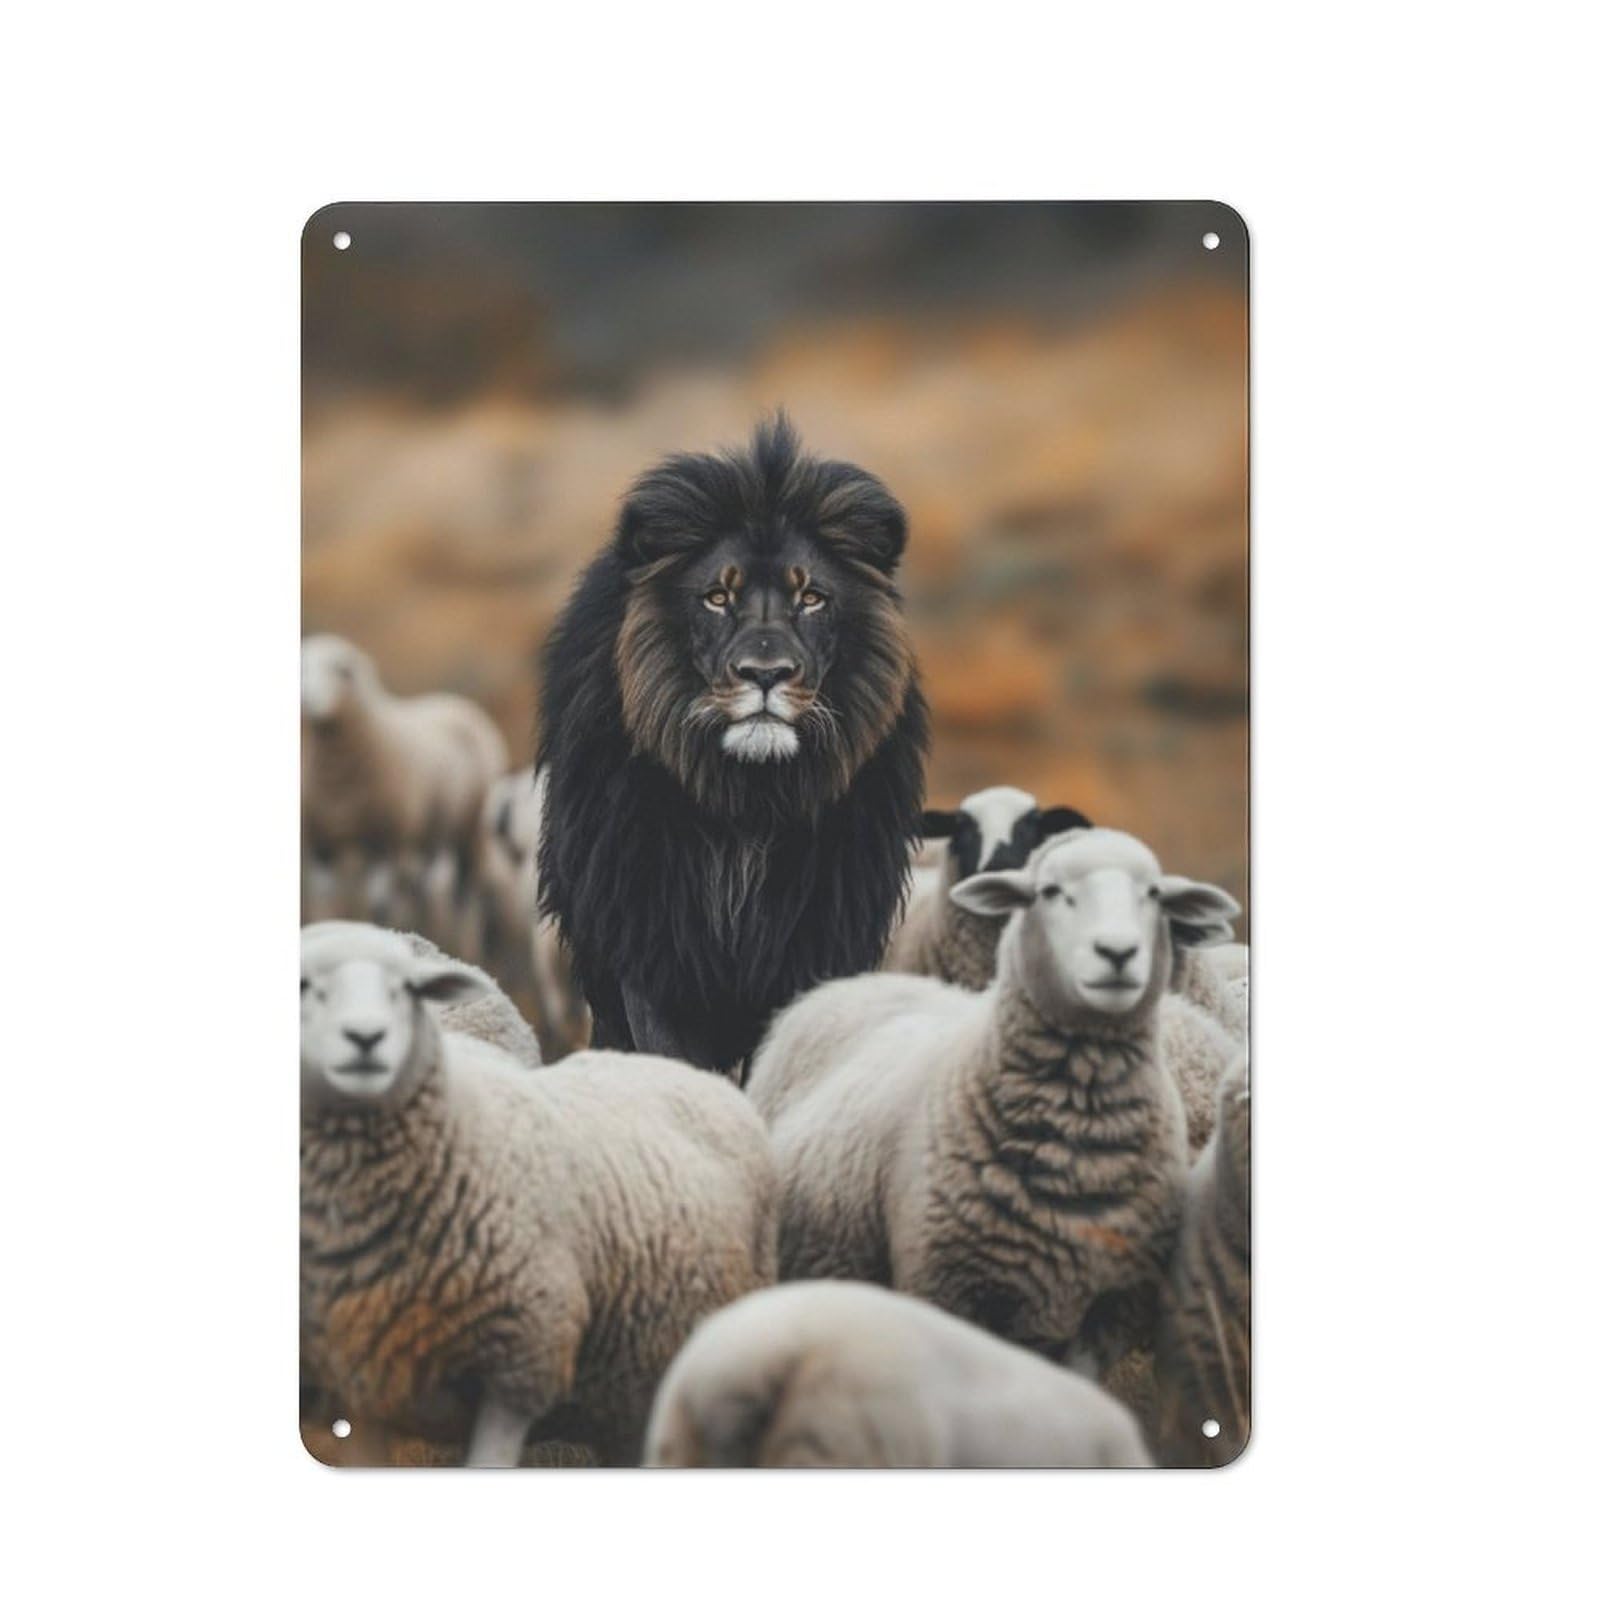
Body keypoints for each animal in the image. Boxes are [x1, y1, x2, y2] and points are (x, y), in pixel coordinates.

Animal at [300, 634, 509, 936]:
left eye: (340, 670)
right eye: (302, 668)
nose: (306, 700)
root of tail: (454, 700)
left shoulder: (388, 841)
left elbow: (381, 905)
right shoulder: (322, 846)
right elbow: (324, 902)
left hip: (470, 829)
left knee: (464, 893)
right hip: (430, 836)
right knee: (422, 887)